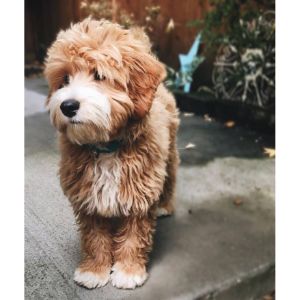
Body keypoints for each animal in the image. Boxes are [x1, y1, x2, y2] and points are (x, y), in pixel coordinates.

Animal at [44, 17, 179, 290]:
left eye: (99, 75)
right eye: (64, 79)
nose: (68, 105)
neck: (106, 146)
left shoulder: (140, 194)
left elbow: (134, 236)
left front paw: (128, 271)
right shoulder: (87, 198)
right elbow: (94, 238)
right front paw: (94, 270)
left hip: (169, 153)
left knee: (170, 177)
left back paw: (164, 205)